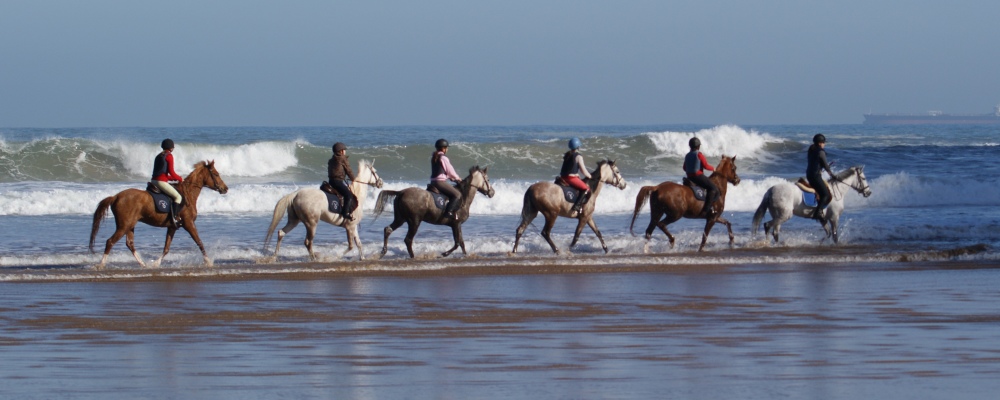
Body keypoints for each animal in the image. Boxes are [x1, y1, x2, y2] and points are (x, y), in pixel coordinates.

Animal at [88, 160, 230, 268]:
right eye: (216, 174)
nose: (225, 188)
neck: (188, 194)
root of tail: (116, 196)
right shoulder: (189, 224)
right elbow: (199, 242)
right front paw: (208, 262)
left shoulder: (172, 227)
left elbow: (166, 248)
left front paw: (156, 263)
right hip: (124, 225)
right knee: (110, 241)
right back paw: (101, 265)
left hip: (130, 225)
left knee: (130, 243)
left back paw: (143, 264)